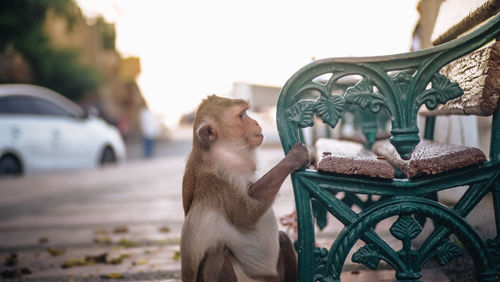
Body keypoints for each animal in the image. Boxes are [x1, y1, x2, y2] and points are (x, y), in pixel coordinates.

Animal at [182, 95, 310, 282]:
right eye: (242, 115)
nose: (256, 121)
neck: (223, 156)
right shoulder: (217, 183)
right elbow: (247, 216)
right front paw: (293, 158)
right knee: (216, 254)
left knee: (284, 239)